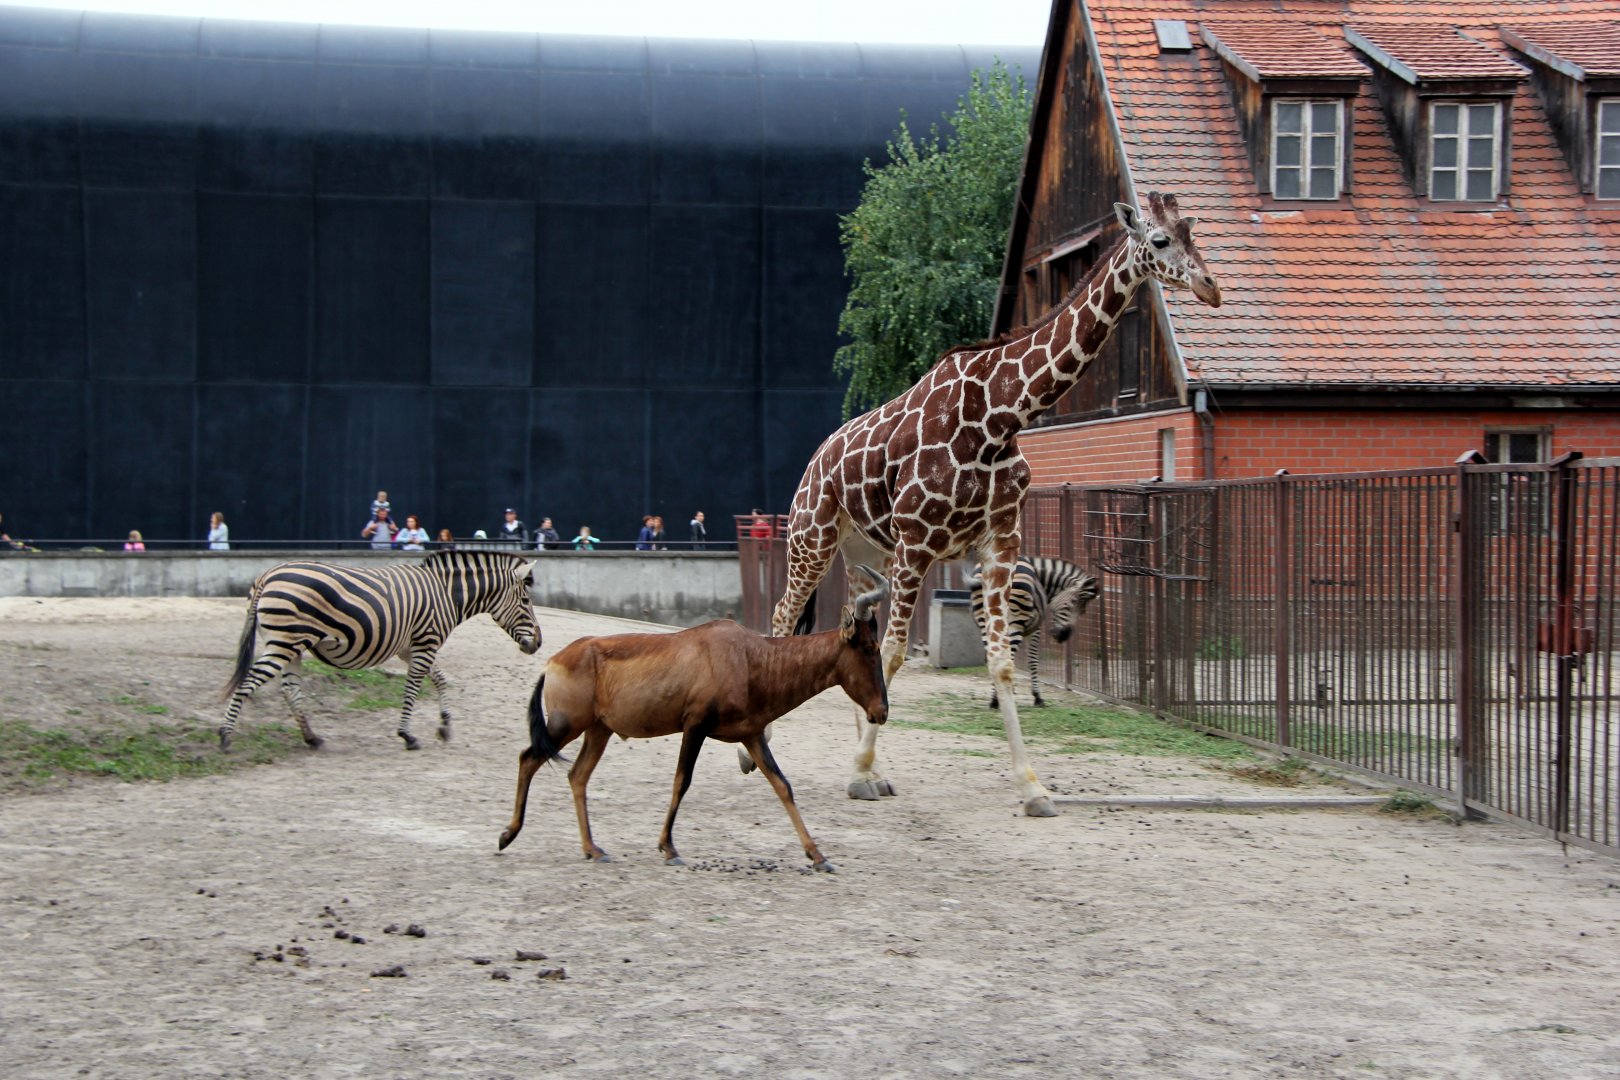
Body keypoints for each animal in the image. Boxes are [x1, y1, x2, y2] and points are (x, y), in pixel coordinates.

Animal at [218, 550, 541, 752]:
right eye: (526, 601)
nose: (538, 643)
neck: (447, 594)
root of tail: (268, 575)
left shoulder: (412, 647)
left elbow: (440, 679)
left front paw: (445, 726)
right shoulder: (426, 643)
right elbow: (413, 688)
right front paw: (407, 735)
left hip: (292, 646)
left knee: (290, 690)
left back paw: (312, 738)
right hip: (284, 642)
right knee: (248, 683)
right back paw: (225, 737)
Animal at [967, 556, 1100, 708]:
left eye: (1082, 611)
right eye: (1072, 605)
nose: (1063, 636)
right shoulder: (1036, 628)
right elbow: (1033, 659)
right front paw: (1037, 696)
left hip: (986, 621)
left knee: (994, 658)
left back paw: (996, 699)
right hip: (1015, 621)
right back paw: (999, 699)